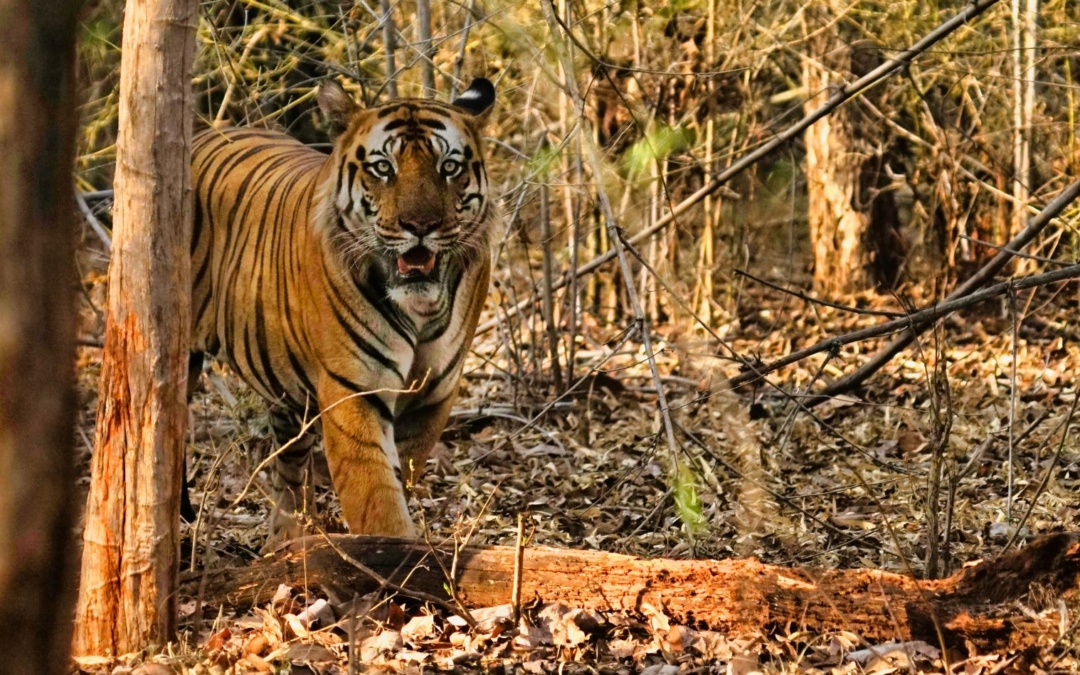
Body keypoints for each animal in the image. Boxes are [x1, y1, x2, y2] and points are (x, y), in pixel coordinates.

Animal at [188, 78, 496, 543]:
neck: (419, 308)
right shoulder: (355, 391)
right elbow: (377, 500)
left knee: (290, 466)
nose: (420, 226)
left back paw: (288, 538)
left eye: (449, 167)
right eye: (383, 168)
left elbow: (400, 474)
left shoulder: (433, 395)